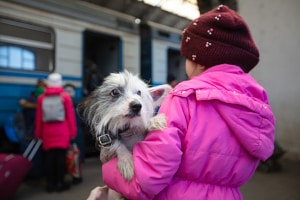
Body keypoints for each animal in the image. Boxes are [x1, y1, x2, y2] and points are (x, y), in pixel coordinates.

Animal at [77, 70, 171, 200]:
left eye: (139, 92)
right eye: (115, 92)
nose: (137, 105)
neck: (129, 131)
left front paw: (153, 121)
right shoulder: (105, 153)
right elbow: (118, 145)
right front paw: (126, 162)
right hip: (97, 192)